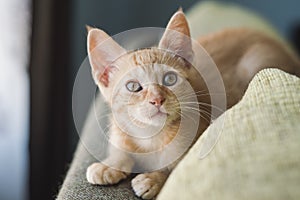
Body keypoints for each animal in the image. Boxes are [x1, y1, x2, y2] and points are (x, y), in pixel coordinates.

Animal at [85, 9, 298, 198]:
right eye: (133, 86)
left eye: (170, 79)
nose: (157, 99)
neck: (150, 138)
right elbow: (121, 151)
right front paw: (108, 165)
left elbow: (176, 166)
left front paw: (154, 179)